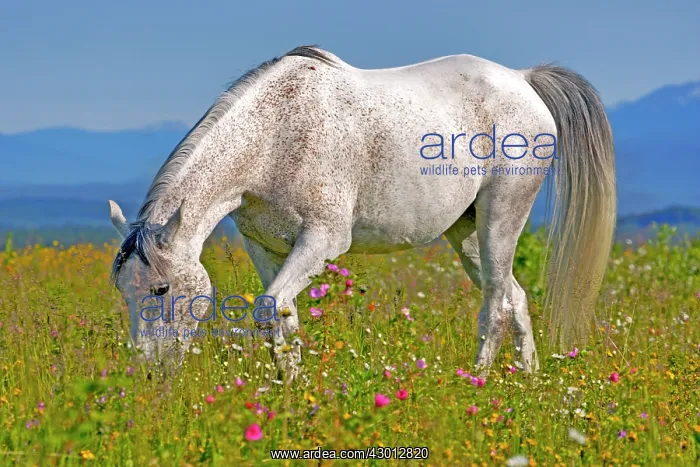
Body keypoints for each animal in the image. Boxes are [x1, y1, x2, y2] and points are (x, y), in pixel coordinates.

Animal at [108, 45, 616, 381]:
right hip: (467, 233)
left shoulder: (323, 241)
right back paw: (529, 381)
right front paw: (291, 392)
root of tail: (523, 78)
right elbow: (283, 317)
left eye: (160, 288)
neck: (274, 136)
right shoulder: (266, 248)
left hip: (501, 218)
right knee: (514, 296)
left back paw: (478, 381)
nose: (147, 371)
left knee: (495, 303)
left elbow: (270, 308)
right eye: (123, 289)